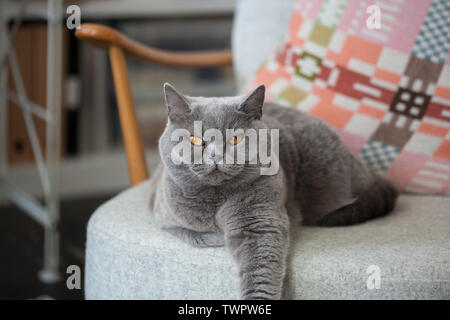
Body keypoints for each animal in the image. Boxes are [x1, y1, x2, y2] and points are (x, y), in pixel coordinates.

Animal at [149, 83, 398, 300]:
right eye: (195, 139)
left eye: (235, 139)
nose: (215, 156)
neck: (215, 199)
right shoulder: (161, 212)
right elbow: (189, 233)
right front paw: (214, 236)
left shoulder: (260, 220)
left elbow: (260, 270)